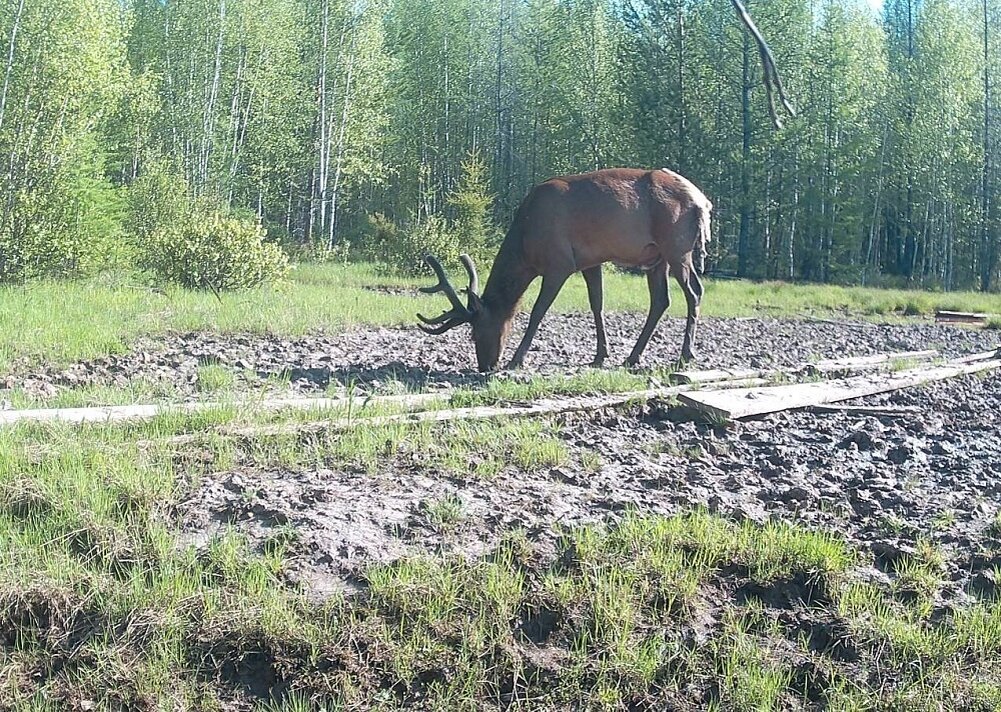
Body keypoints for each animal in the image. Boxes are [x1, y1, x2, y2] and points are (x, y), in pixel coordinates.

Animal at [414, 168, 712, 372]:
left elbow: (538, 311)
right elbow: (596, 305)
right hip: (657, 257)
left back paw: (686, 355)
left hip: (677, 247)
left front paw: (516, 360)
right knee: (661, 300)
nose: (485, 366)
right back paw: (632, 357)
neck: (527, 244)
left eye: (475, 332)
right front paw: (600, 356)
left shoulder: (560, 262)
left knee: (694, 292)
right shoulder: (591, 261)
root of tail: (703, 203)